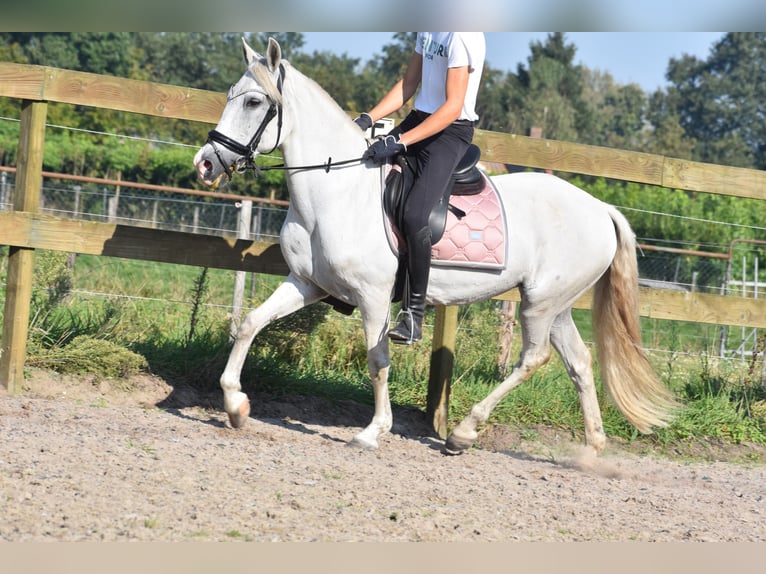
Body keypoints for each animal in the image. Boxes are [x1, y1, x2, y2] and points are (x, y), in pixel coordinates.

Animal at [192, 38, 680, 456]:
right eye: (232, 94)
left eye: (254, 102)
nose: (206, 163)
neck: (337, 190)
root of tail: (601, 209)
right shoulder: (307, 283)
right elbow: (250, 323)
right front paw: (235, 405)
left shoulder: (373, 297)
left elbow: (378, 359)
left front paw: (373, 432)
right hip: (553, 303)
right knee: (578, 361)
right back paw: (592, 449)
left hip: (540, 304)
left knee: (534, 358)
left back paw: (464, 432)